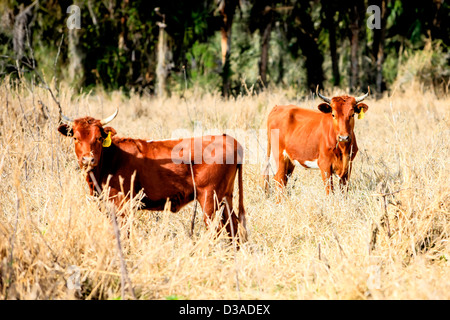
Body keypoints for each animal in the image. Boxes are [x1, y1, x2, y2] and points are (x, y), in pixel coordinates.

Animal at [58, 109, 248, 244]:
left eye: (98, 138)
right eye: (75, 137)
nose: (88, 159)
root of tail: (228, 138)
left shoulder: (121, 205)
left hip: (210, 197)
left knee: (216, 229)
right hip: (225, 197)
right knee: (233, 226)